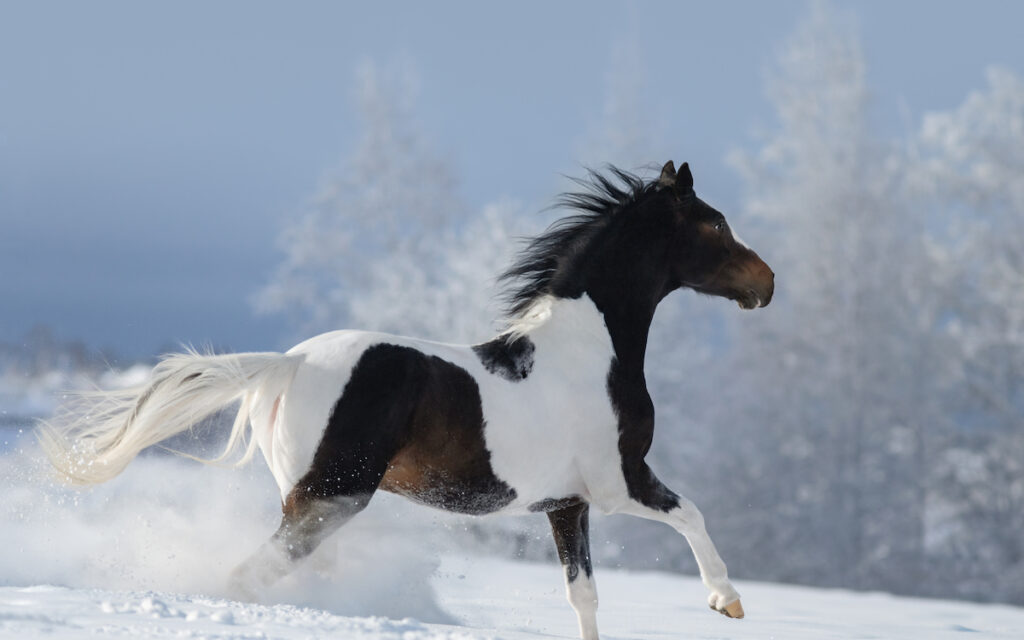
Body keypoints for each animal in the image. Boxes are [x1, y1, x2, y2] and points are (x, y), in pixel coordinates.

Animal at [44, 161, 770, 638]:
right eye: (714, 225)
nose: (766, 282)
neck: (592, 348)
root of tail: (289, 362)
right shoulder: (619, 481)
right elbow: (692, 515)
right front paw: (727, 601)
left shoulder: (567, 505)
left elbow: (583, 597)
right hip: (333, 495)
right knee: (250, 575)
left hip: (314, 500)